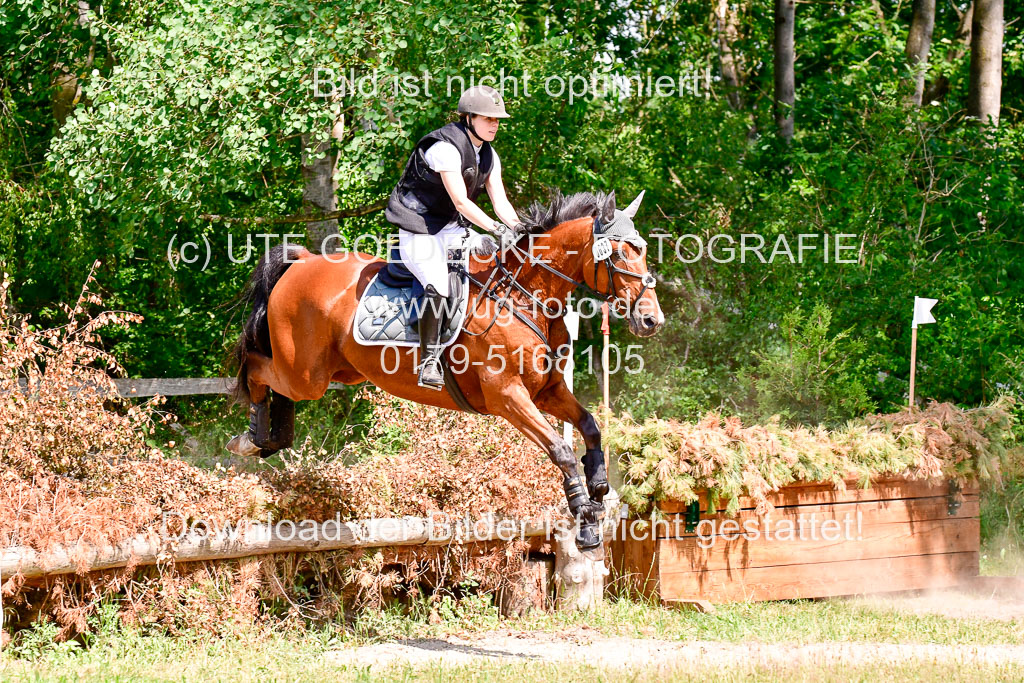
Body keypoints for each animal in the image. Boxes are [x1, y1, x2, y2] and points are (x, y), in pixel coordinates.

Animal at [224, 191, 663, 548]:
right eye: (620, 254)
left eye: (643, 251)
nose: (651, 321)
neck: (525, 297)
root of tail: (304, 262)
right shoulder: (507, 396)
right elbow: (562, 450)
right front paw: (585, 517)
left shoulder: (547, 391)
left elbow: (590, 426)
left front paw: (599, 488)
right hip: (305, 374)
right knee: (256, 368)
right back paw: (251, 438)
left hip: (337, 371)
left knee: (276, 385)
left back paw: (272, 438)